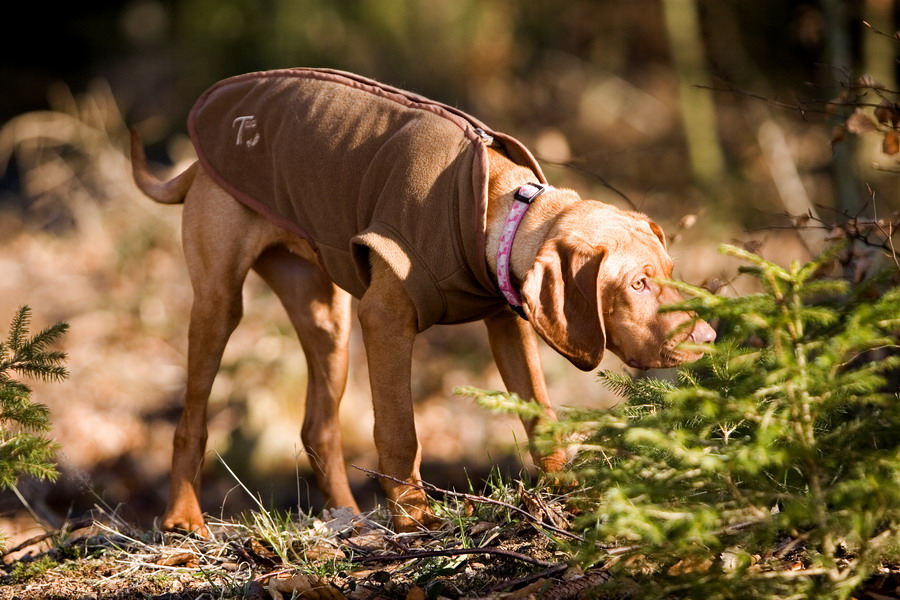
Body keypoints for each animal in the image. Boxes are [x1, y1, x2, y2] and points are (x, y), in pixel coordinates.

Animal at [130, 68, 712, 536]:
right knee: (192, 419)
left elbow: (540, 413)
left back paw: (347, 519)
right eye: (637, 284)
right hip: (220, 302)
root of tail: (197, 164)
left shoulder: (508, 322)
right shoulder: (385, 320)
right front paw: (414, 517)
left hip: (326, 317)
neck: (494, 209)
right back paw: (183, 519)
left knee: (319, 427)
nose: (710, 336)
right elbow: (400, 431)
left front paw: (567, 494)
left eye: (669, 275)